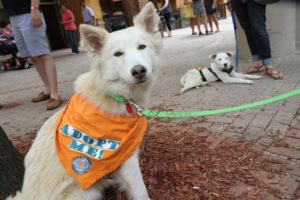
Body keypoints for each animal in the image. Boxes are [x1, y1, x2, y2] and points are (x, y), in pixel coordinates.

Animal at [7, 2, 161, 199]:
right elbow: (141, 191)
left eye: (142, 47)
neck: (112, 93)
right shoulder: (126, 157)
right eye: (118, 54)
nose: (139, 70)